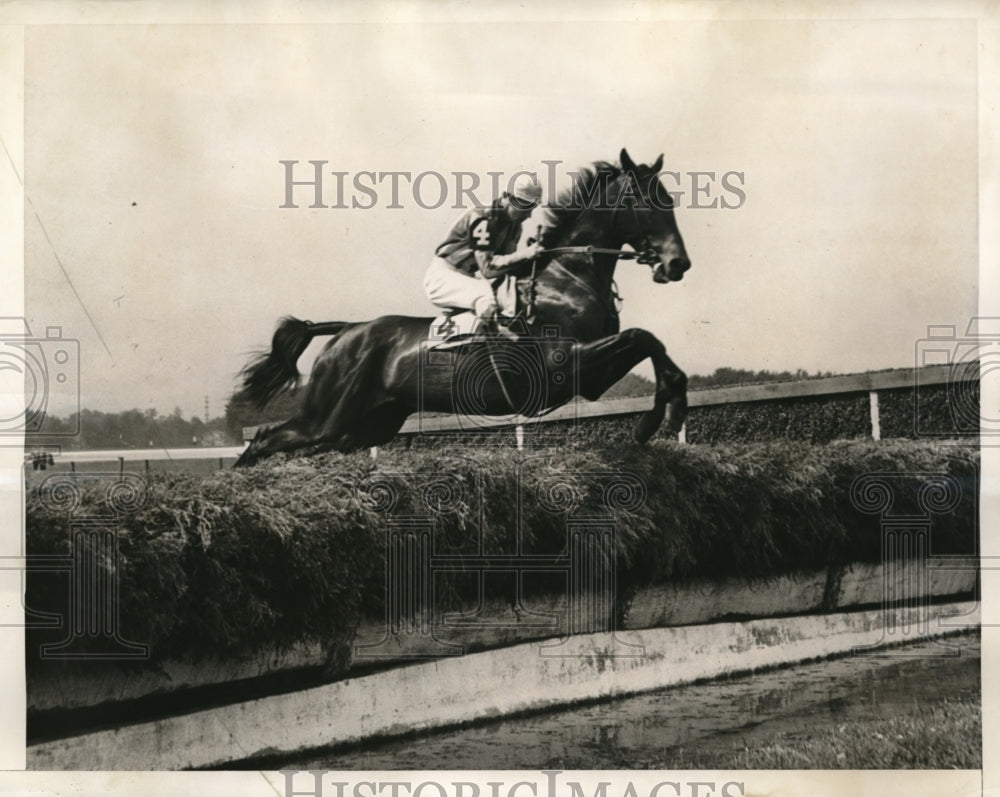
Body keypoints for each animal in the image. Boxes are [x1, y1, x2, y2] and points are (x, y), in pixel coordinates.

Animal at [234, 148, 688, 466]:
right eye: (645, 202)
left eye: (669, 200)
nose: (678, 263)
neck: (567, 277)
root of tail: (347, 330)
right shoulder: (566, 363)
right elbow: (642, 337)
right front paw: (653, 421)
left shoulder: (590, 377)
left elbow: (654, 346)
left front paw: (670, 409)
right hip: (326, 415)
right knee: (264, 439)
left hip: (367, 423)